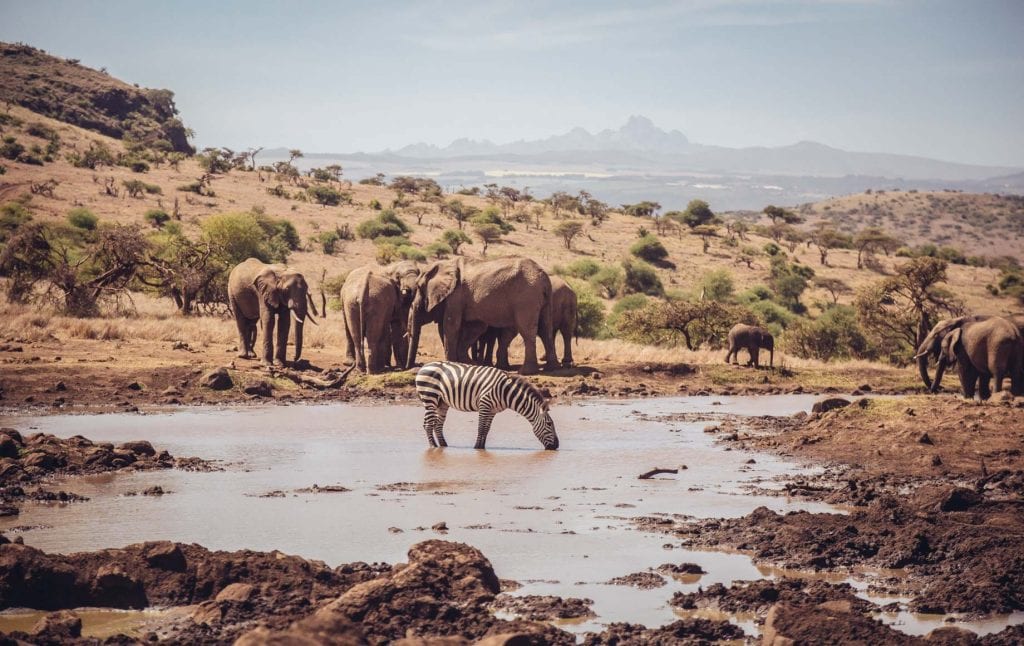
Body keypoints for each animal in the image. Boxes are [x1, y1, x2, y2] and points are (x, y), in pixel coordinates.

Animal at [406, 257, 557, 375]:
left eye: (419, 287)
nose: (410, 367)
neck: (446, 263)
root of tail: (544, 278)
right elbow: (476, 327)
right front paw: (468, 363)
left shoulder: (456, 295)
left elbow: (451, 326)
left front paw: (450, 363)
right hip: (544, 300)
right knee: (545, 329)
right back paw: (551, 368)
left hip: (526, 298)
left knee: (527, 330)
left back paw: (526, 372)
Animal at [415, 361, 559, 450]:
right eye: (549, 424)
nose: (556, 446)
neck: (505, 391)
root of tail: (424, 367)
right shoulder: (485, 404)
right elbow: (481, 428)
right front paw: (477, 447)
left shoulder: (492, 410)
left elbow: (486, 429)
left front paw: (482, 447)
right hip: (430, 397)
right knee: (428, 424)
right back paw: (433, 446)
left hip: (442, 403)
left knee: (437, 425)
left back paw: (444, 445)